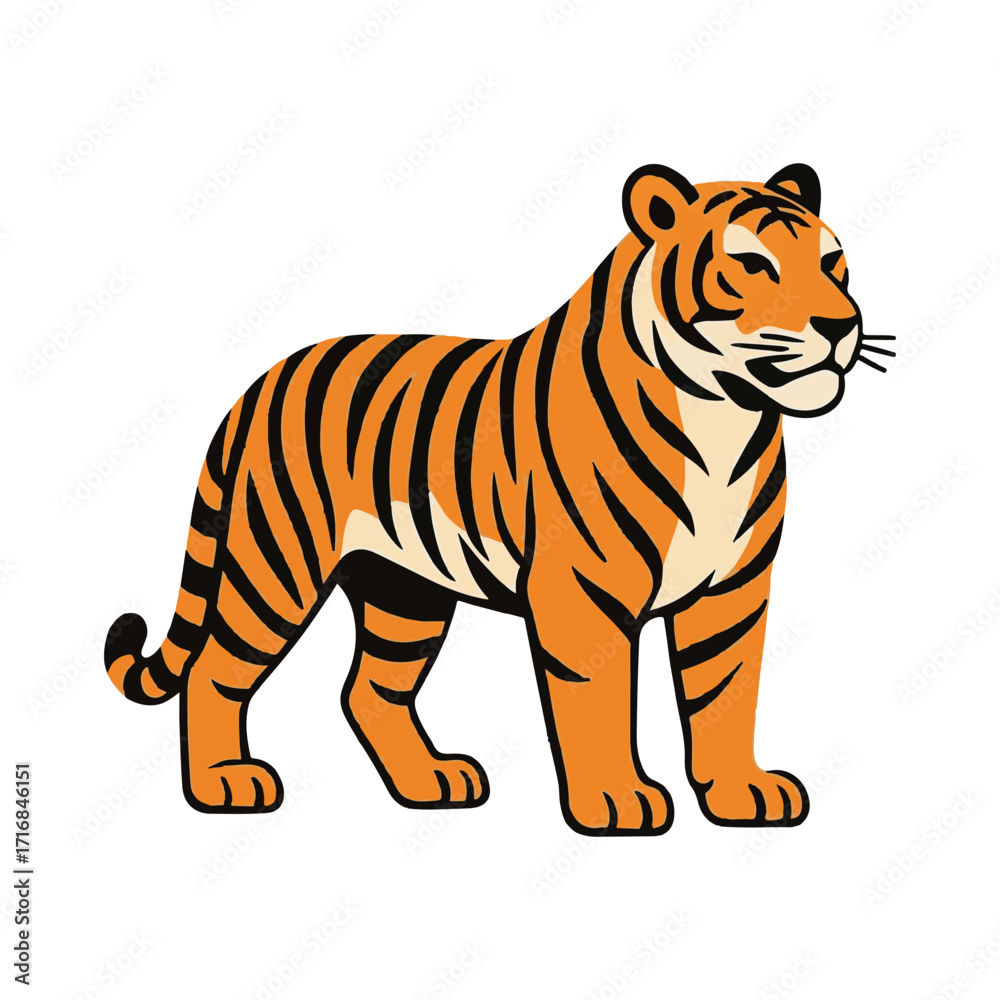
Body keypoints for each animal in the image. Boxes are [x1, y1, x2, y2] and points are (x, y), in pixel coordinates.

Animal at [105, 161, 889, 835]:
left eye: (833, 263)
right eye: (753, 265)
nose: (840, 325)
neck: (727, 414)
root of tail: (261, 380)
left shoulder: (733, 588)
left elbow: (726, 690)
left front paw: (741, 792)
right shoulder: (585, 590)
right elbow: (598, 698)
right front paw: (616, 800)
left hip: (405, 593)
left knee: (370, 690)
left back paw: (431, 782)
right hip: (277, 566)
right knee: (214, 670)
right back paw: (225, 785)